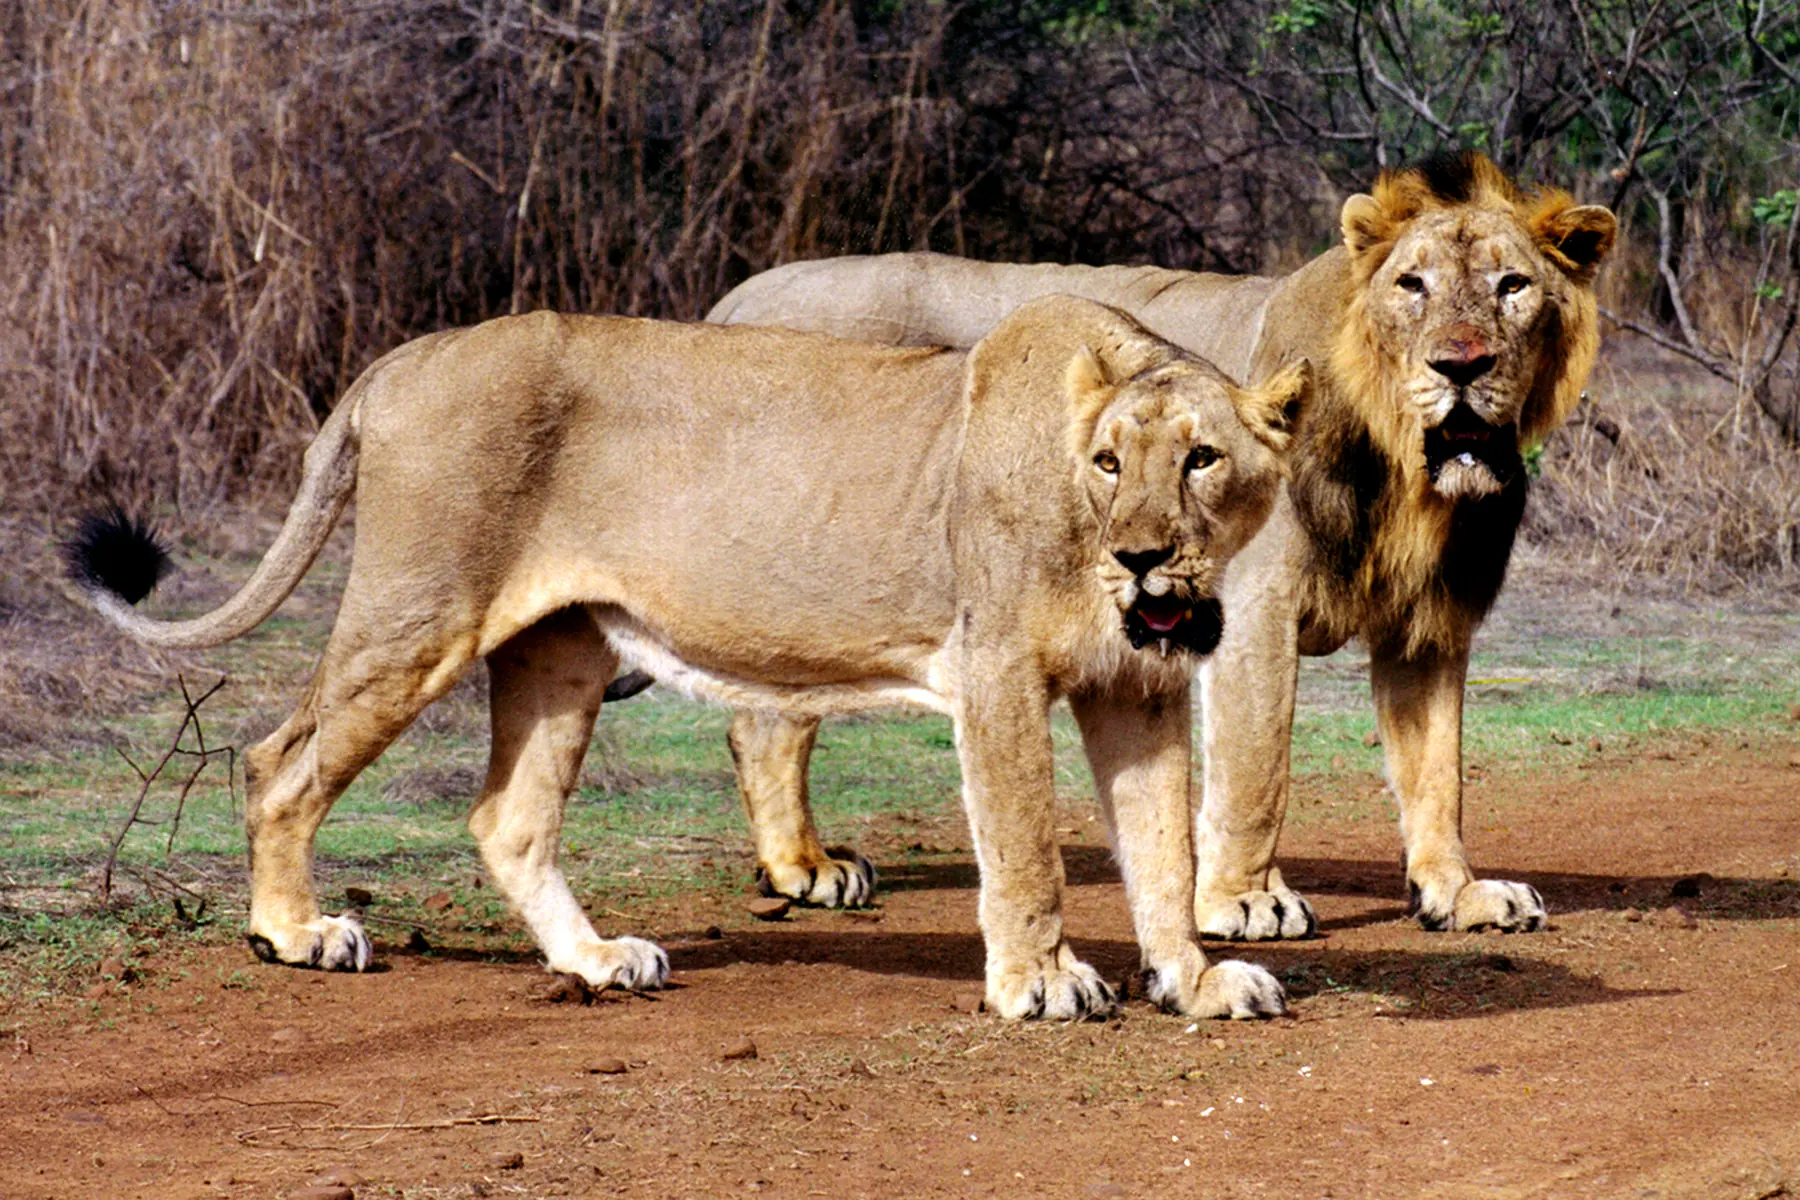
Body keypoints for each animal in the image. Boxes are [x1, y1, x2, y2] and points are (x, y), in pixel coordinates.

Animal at [69, 295, 1304, 1021]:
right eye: (1108, 463)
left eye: (1202, 458)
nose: (1143, 556)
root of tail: (405, 357)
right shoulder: (994, 667)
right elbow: (1027, 850)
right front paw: (1041, 982)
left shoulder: (1138, 690)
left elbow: (1161, 853)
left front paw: (1194, 981)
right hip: (418, 610)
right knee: (278, 761)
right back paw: (294, 934)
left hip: (559, 648)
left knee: (506, 818)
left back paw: (596, 962)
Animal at [701, 151, 1617, 938]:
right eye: (1412, 285)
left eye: (1511, 286)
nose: (1461, 366)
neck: (1407, 474)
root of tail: (732, 300)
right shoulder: (1254, 605)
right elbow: (1257, 766)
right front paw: (1243, 900)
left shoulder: (1428, 621)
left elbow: (1437, 771)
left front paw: (1457, 894)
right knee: (766, 726)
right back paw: (804, 868)